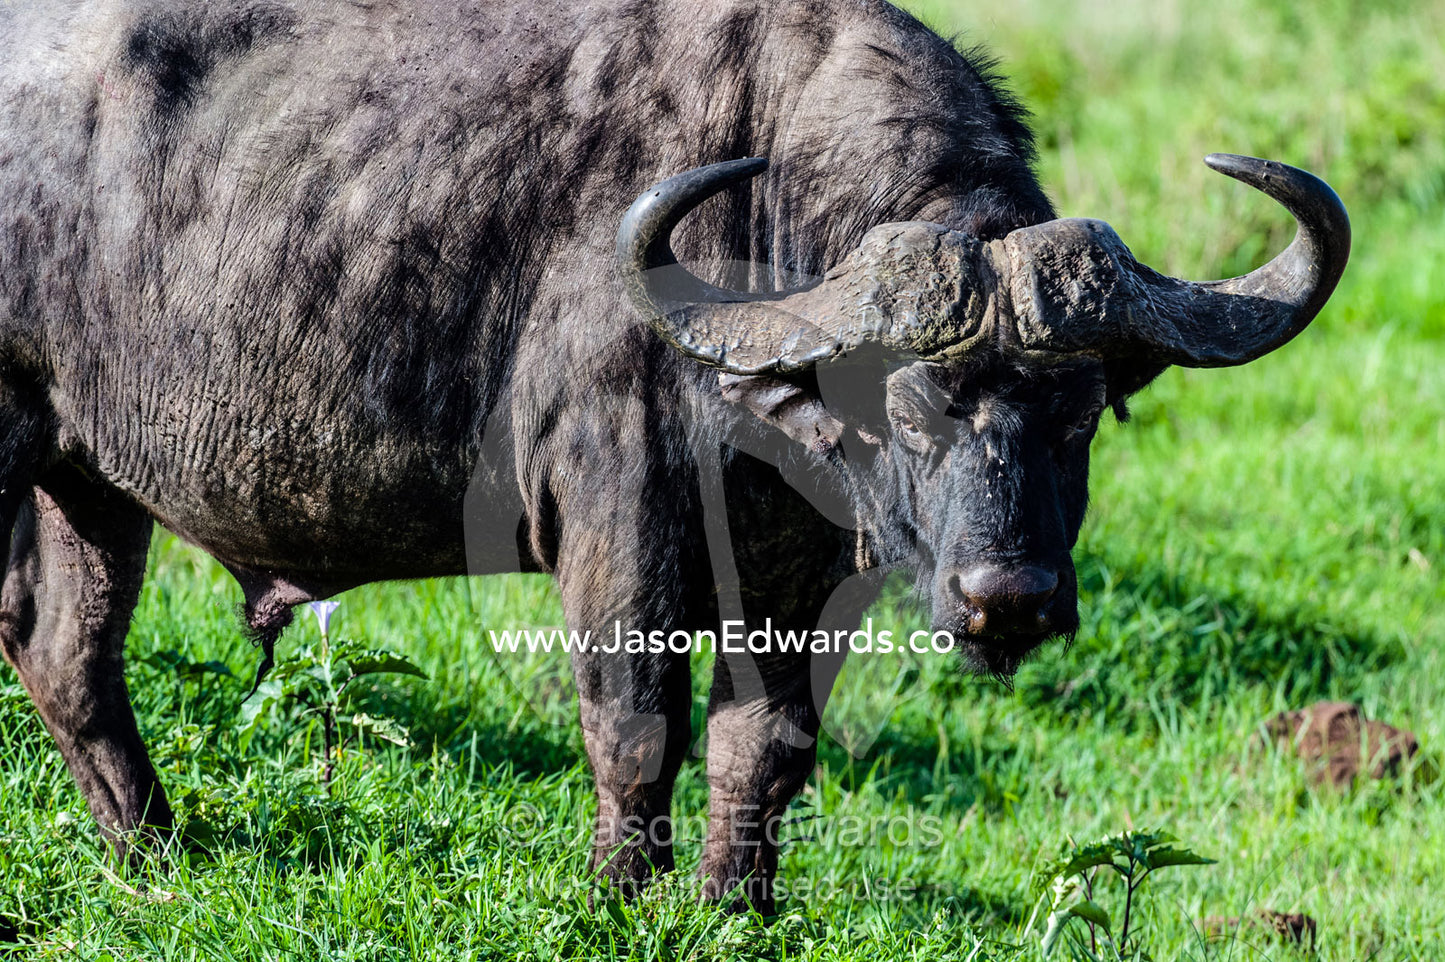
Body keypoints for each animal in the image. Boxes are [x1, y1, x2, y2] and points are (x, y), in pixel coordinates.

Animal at [0, 0, 1346, 911]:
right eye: (910, 408)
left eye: (1076, 413)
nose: (1003, 597)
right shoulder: (615, 521)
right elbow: (636, 722)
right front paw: (616, 897)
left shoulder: (805, 567)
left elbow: (768, 742)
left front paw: (735, 904)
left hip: (89, 479)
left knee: (64, 649)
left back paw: (155, 851)